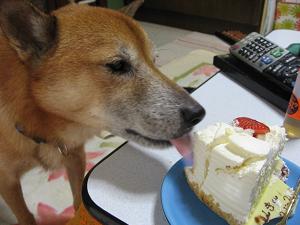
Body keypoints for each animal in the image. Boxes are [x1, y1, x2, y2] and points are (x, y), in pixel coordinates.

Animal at [0, 0, 204, 224]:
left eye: (154, 60)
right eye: (118, 65)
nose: (198, 114)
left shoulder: (75, 156)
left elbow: (78, 198)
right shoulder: (7, 181)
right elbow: (25, 215)